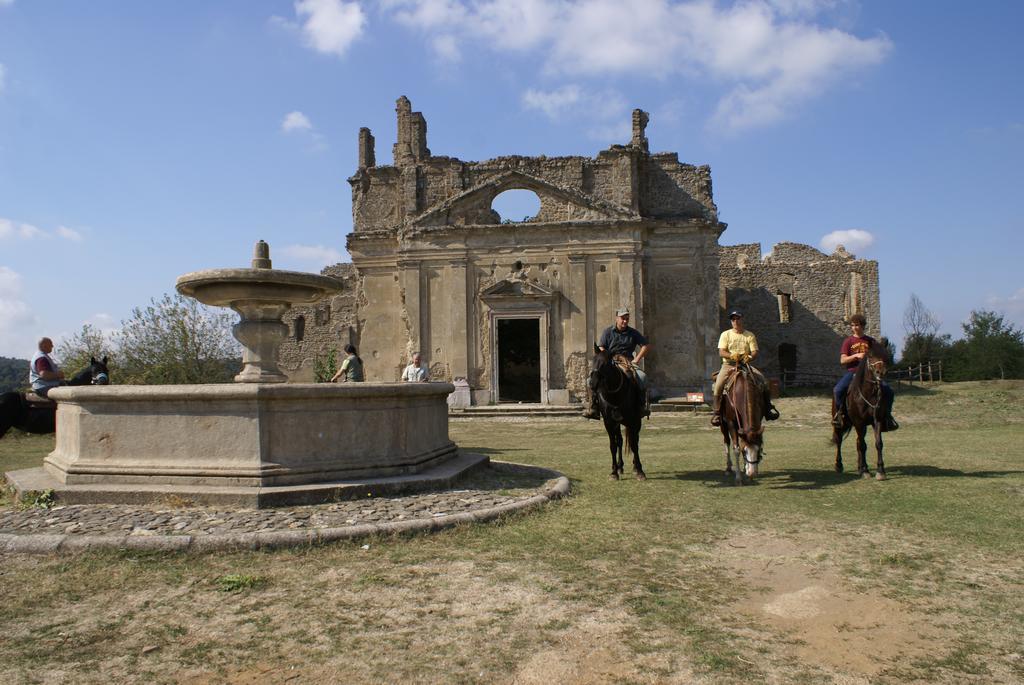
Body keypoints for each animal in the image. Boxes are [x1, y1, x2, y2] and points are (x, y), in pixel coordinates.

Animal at [589, 341, 643, 481]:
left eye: (605, 364)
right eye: (593, 361)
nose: (592, 383)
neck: (615, 395)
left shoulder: (632, 420)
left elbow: (634, 444)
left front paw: (640, 471)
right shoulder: (609, 422)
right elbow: (613, 445)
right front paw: (614, 472)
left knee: (635, 439)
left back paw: (635, 466)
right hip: (617, 423)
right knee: (620, 441)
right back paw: (620, 466)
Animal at [835, 341, 892, 481]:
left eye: (885, 355)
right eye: (870, 355)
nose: (880, 372)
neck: (868, 393)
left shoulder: (877, 420)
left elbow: (878, 443)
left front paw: (880, 471)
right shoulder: (859, 422)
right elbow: (863, 445)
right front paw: (866, 470)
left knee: (857, 442)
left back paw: (859, 467)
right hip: (840, 424)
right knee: (839, 441)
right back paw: (839, 465)